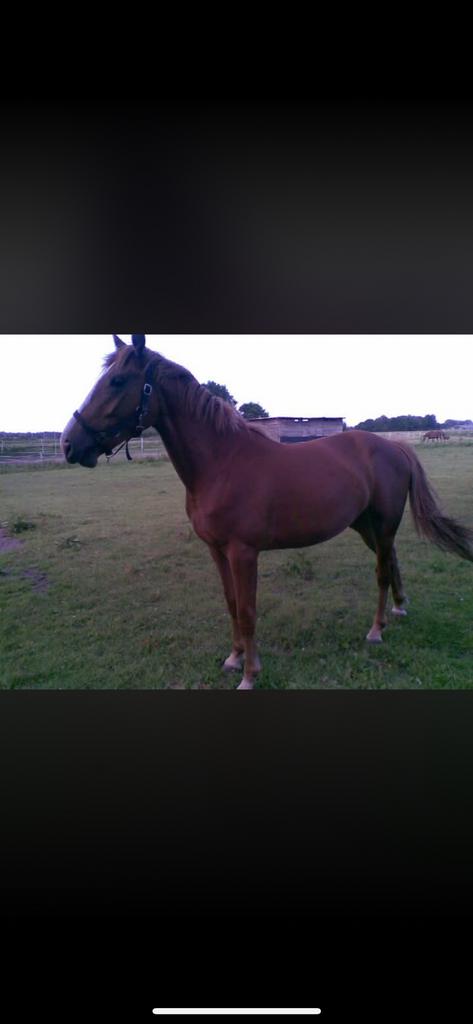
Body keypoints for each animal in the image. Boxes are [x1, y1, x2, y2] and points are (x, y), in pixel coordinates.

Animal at [61, 335, 473, 689]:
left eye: (117, 382)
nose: (68, 444)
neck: (221, 463)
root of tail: (394, 447)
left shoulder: (243, 553)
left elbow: (247, 610)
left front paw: (250, 674)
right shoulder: (217, 551)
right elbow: (231, 604)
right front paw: (233, 659)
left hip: (384, 526)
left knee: (382, 572)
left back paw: (376, 630)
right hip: (365, 527)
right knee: (392, 562)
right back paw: (399, 611)